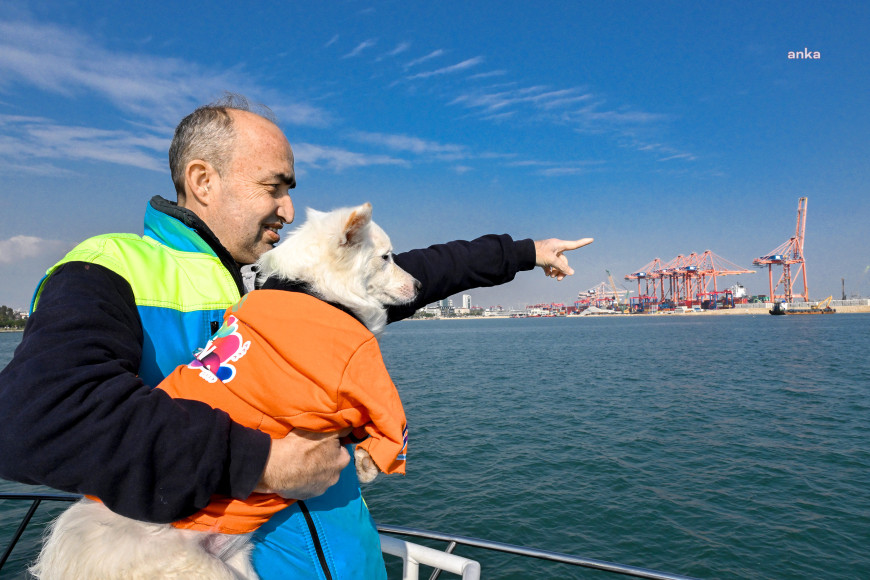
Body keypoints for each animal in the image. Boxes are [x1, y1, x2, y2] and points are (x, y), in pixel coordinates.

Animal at [35, 204, 424, 580]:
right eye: (386, 257)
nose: (420, 285)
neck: (311, 289)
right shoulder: (363, 376)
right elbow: (389, 427)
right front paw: (370, 463)